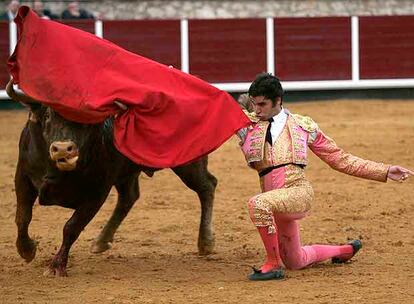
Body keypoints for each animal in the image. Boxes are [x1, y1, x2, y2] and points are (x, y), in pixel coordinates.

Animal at [6, 80, 218, 276]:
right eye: (48, 115)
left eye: (86, 118)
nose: (63, 149)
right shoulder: (22, 177)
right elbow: (23, 217)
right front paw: (26, 250)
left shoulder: (97, 193)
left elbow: (71, 227)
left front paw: (56, 266)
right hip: (126, 172)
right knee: (129, 197)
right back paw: (101, 241)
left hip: (188, 162)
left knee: (207, 185)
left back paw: (206, 241)